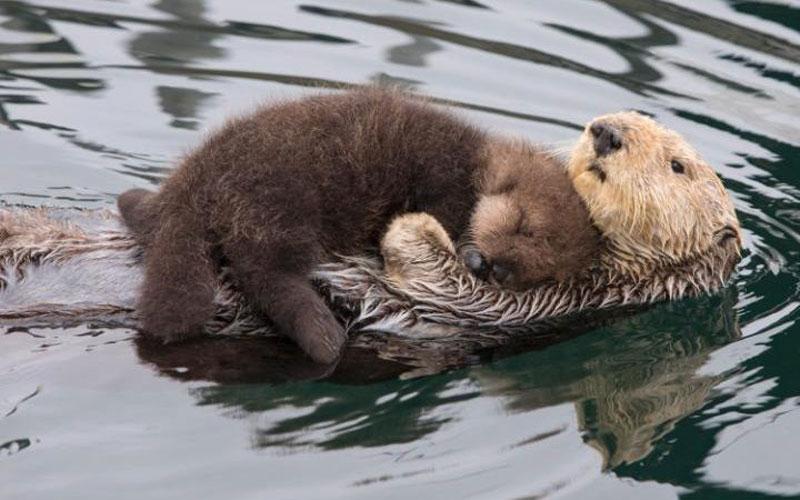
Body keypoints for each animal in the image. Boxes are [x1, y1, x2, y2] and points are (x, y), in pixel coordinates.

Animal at [117, 88, 592, 364]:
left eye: (539, 269)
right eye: (524, 226)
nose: (498, 270)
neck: (477, 161)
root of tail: (194, 186)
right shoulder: (447, 181)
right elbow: (449, 213)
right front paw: (469, 252)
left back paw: (132, 202)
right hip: (278, 206)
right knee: (267, 273)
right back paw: (323, 337)